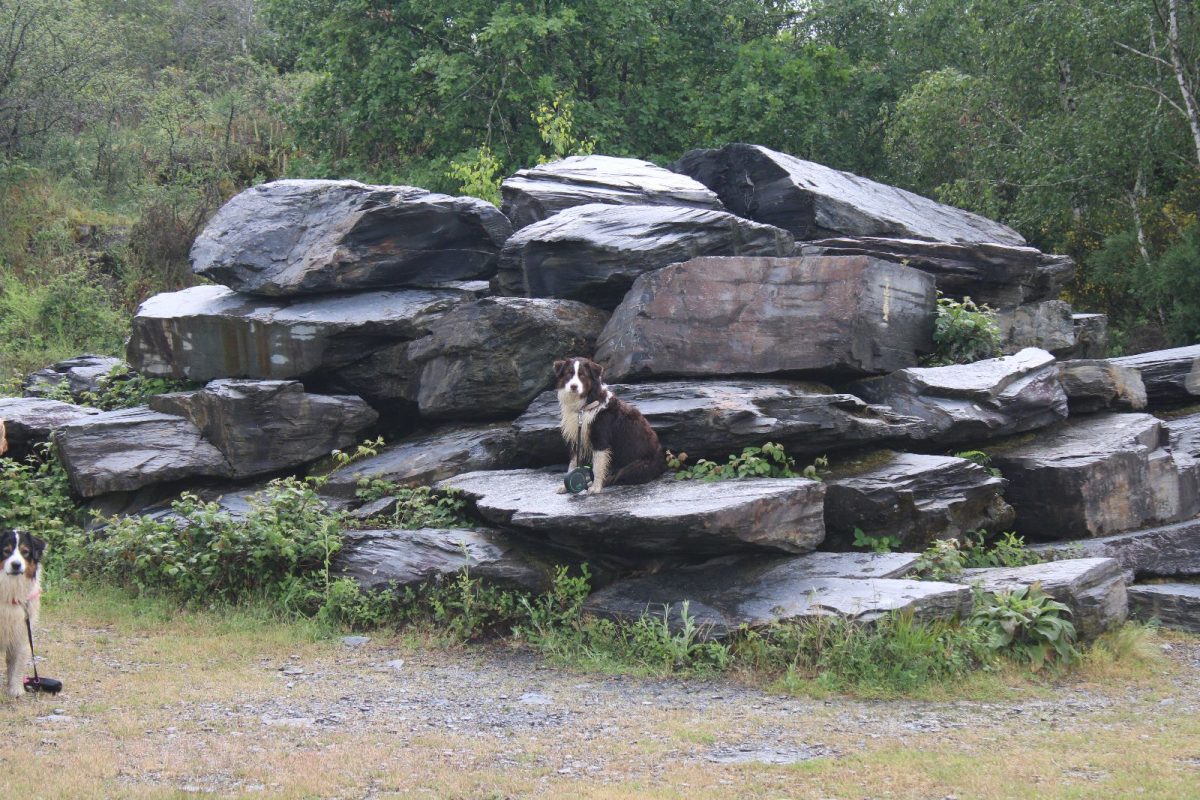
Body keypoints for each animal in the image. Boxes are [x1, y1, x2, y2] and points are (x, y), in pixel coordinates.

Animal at [1, 527, 44, 695]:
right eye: (6, 551)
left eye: (25, 552)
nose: (16, 565)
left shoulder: (22, 628)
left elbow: (17, 663)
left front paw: (16, 689)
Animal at [552, 357, 667, 494]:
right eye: (569, 373)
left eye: (582, 375)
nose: (573, 386)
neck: (585, 405)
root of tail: (663, 463)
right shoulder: (576, 437)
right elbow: (573, 464)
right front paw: (565, 486)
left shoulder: (600, 439)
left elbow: (597, 467)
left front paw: (595, 487)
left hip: (636, 467)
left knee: (618, 476)